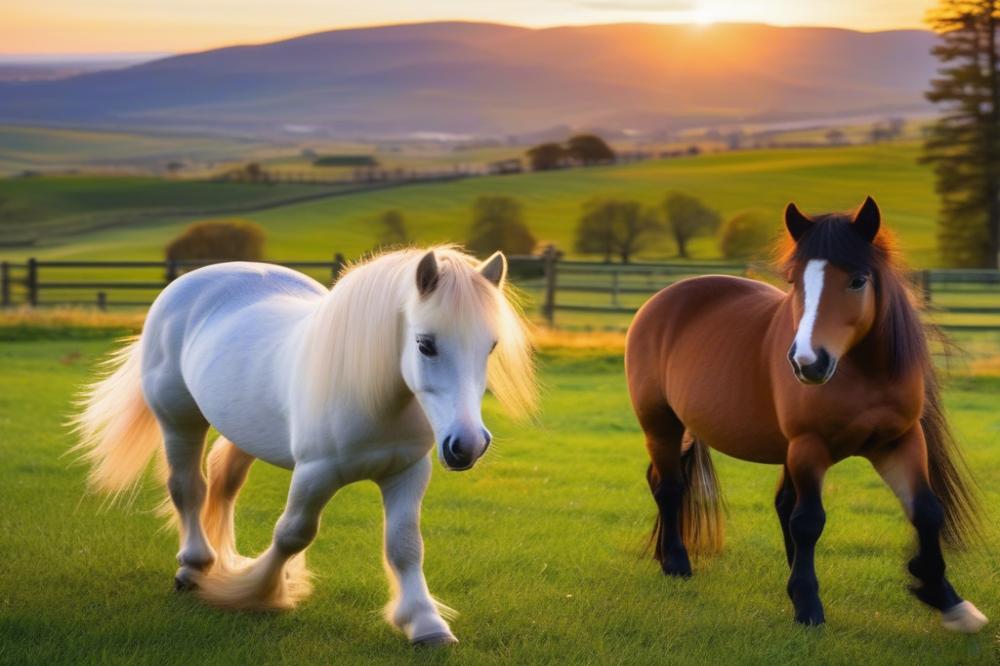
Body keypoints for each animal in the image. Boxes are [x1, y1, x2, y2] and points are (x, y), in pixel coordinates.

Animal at [71, 246, 536, 646]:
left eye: (491, 346)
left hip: (243, 431)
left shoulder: (406, 472)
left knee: (224, 486)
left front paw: (425, 624)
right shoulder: (316, 473)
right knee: (189, 487)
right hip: (179, 421)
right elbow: (293, 533)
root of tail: (192, 281)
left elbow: (405, 546)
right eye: (425, 344)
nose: (468, 446)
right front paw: (256, 591)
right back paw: (195, 566)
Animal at [625, 197, 988, 633]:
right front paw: (808, 604)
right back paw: (677, 562)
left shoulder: (900, 441)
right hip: (661, 423)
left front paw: (946, 597)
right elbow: (808, 520)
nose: (807, 362)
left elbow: (927, 511)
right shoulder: (809, 446)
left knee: (676, 483)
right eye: (794, 280)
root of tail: (660, 300)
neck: (863, 373)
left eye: (858, 280)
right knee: (670, 487)